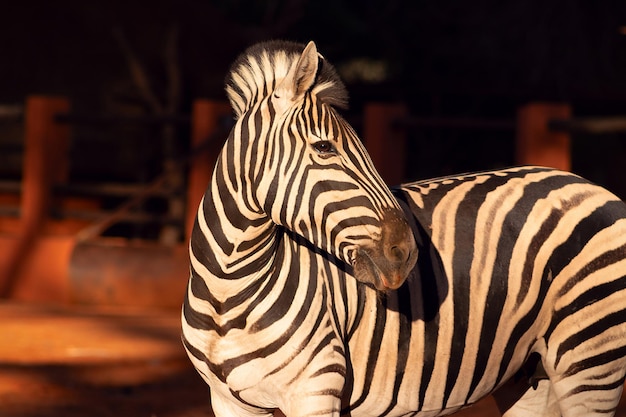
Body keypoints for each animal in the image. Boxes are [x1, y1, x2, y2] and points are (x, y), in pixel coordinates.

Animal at [179, 39, 624, 416]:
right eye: (323, 147)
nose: (406, 253)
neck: (228, 293)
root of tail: (592, 186)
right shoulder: (228, 402)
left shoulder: (316, 391)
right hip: (530, 371)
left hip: (592, 359)